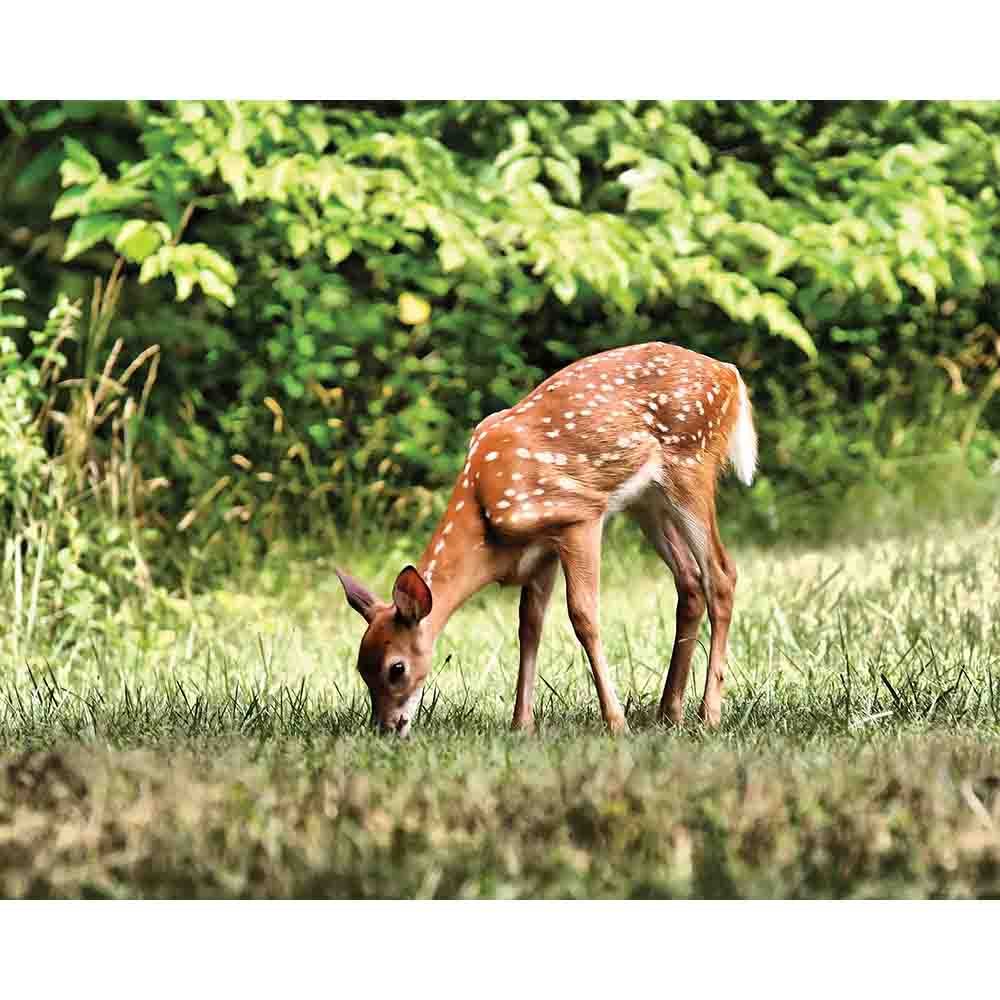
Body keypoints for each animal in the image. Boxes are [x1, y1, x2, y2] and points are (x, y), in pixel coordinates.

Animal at [336, 341, 757, 738]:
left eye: (396, 668)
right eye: (360, 667)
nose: (387, 727)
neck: (485, 512)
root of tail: (729, 373)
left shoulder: (579, 517)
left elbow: (583, 616)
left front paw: (615, 723)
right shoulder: (542, 551)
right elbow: (529, 626)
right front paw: (521, 725)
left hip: (691, 465)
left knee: (721, 575)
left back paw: (708, 715)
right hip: (648, 501)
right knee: (690, 581)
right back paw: (670, 712)